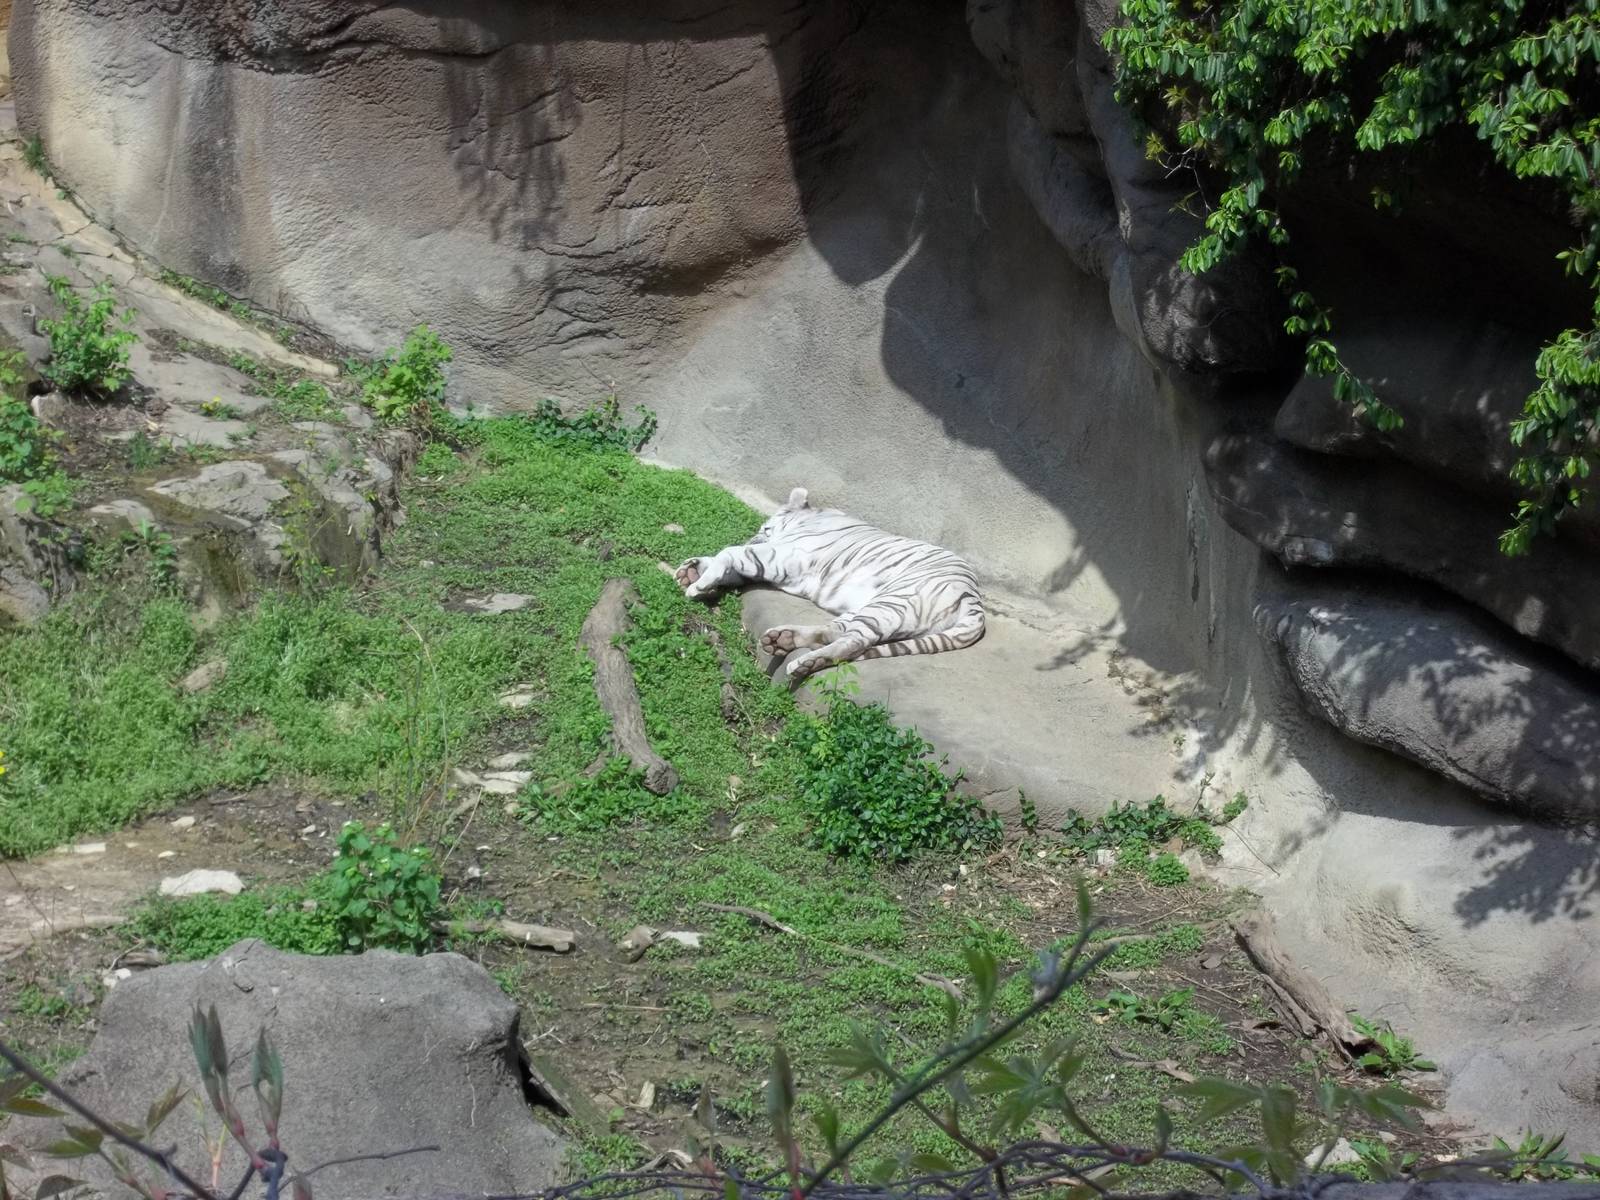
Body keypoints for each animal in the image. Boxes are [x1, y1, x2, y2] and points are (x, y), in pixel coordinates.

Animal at [674, 488, 985, 680]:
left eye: (765, 528)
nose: (754, 536)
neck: (814, 516)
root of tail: (975, 599)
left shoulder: (785, 556)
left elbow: (732, 553)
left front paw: (698, 584)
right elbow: (732, 562)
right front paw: (692, 570)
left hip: (892, 602)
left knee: (856, 641)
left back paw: (805, 662)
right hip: (875, 607)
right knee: (838, 630)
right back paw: (783, 639)